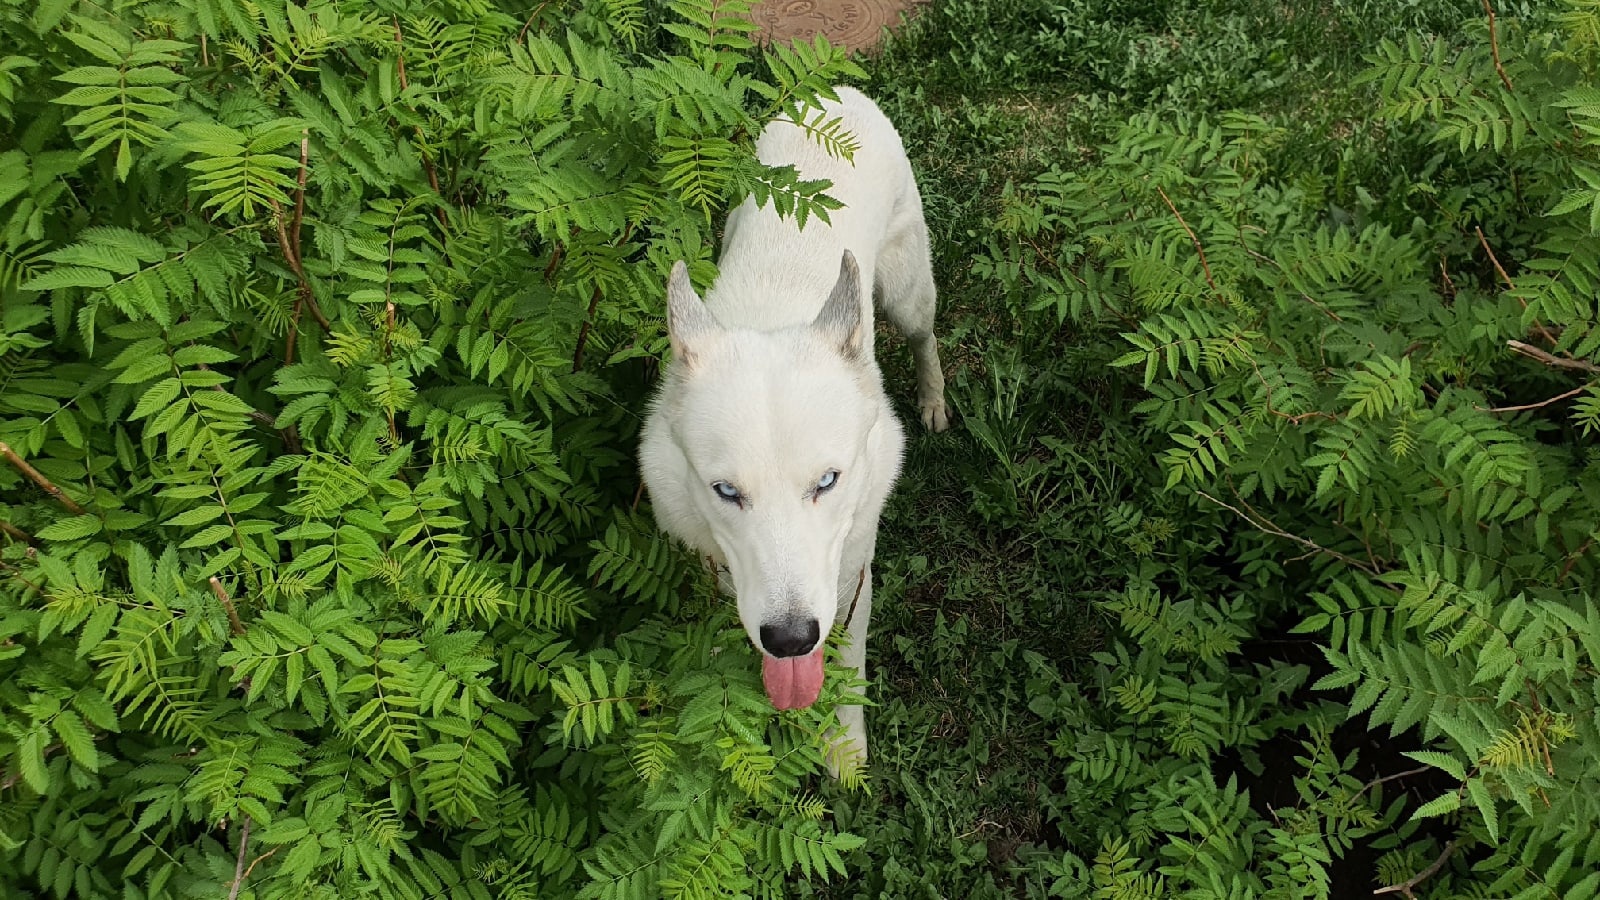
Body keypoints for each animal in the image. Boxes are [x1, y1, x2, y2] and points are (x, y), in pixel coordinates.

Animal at [636, 85, 940, 771]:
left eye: (827, 482)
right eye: (726, 491)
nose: (790, 638)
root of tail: (835, 92)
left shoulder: (851, 581)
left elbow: (848, 664)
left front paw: (844, 752)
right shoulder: (718, 575)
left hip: (908, 291)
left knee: (924, 336)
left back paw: (935, 399)